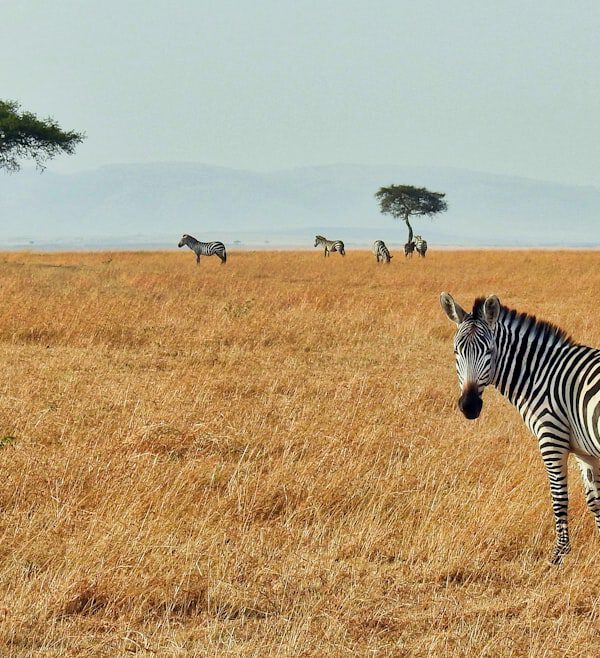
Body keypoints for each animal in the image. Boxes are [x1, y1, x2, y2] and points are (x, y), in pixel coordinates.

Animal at [440, 292, 600, 565]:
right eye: (456, 352)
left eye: (489, 351)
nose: (469, 406)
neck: (540, 374)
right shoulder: (584, 450)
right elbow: (595, 501)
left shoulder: (551, 438)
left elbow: (559, 498)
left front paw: (558, 555)